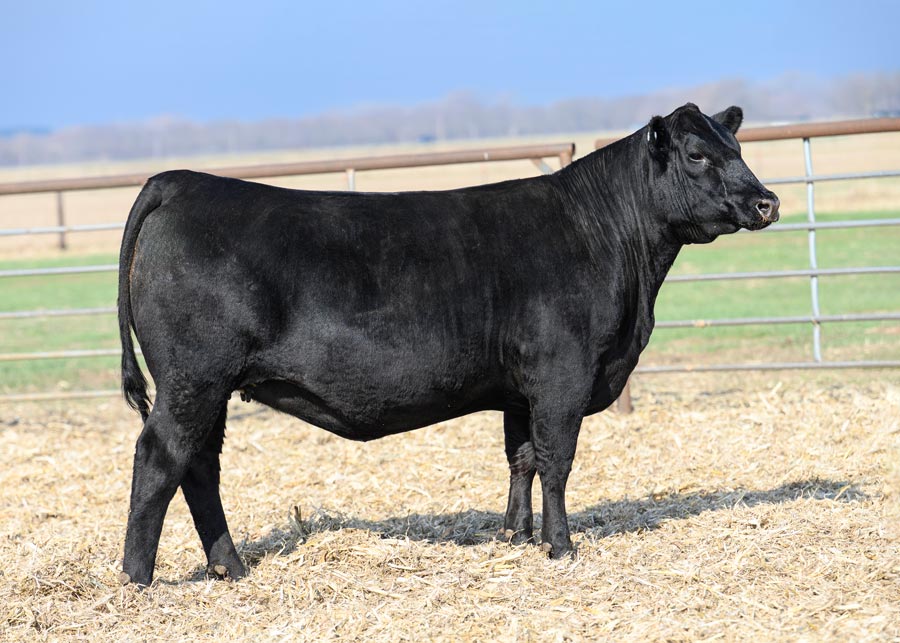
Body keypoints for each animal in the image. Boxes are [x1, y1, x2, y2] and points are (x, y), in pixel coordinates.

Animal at [117, 103, 779, 586]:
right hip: (194, 379)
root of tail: (182, 182)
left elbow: (522, 457)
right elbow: (557, 460)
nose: (767, 202)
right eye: (697, 154)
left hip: (210, 387)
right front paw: (560, 546)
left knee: (199, 466)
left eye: (739, 148)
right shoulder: (562, 374)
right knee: (160, 457)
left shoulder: (519, 388)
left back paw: (229, 567)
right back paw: (137, 578)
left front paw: (515, 535)